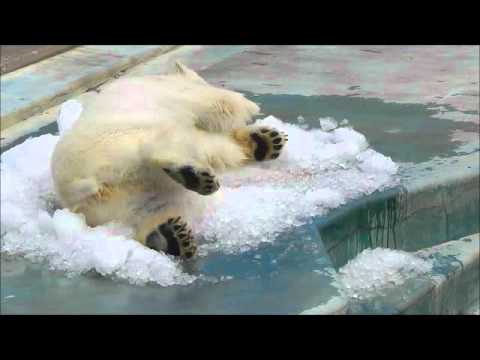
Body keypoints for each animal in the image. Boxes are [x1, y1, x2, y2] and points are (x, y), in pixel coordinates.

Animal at [50, 62, 286, 258]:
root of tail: (77, 187)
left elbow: (220, 146)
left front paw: (266, 140)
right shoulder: (178, 95)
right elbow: (216, 105)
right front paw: (251, 110)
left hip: (118, 203)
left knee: (151, 210)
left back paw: (170, 236)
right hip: (117, 143)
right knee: (156, 146)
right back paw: (192, 177)